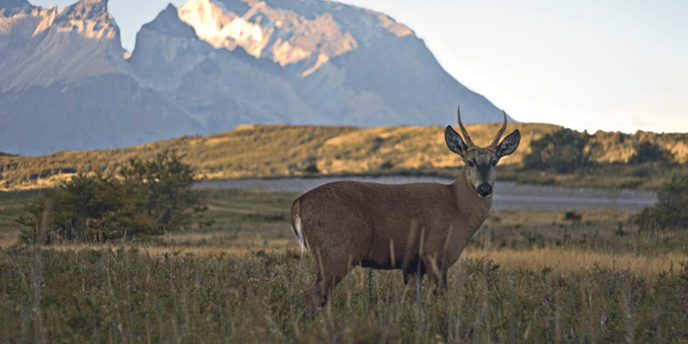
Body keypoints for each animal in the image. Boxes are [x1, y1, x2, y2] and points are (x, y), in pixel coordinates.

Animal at [290, 106, 520, 308]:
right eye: (469, 161)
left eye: (495, 161)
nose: (484, 187)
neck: (458, 207)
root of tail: (299, 203)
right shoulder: (435, 253)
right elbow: (441, 298)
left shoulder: (412, 265)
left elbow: (413, 302)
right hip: (336, 251)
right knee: (313, 293)